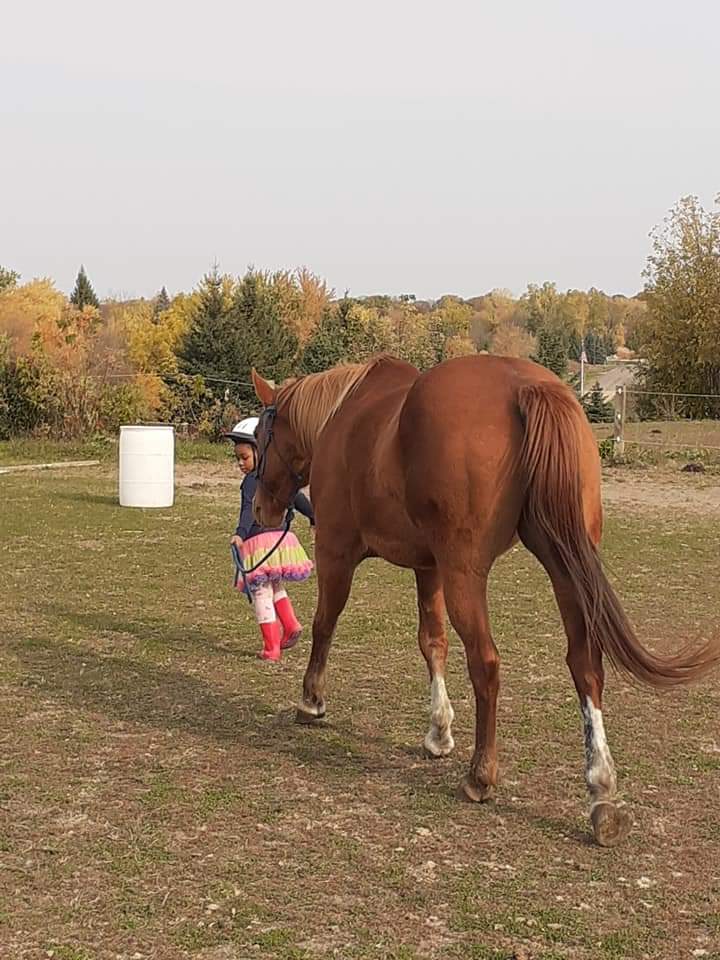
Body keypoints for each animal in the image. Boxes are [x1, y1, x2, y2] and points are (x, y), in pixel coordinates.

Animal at [250, 354, 716, 848]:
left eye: (261, 436)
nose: (260, 508)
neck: (345, 414)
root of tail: (524, 385)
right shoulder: (428, 567)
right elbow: (432, 642)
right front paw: (438, 731)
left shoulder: (337, 551)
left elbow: (325, 623)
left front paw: (311, 700)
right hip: (565, 565)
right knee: (585, 665)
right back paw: (601, 792)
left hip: (467, 574)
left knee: (486, 663)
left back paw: (481, 775)